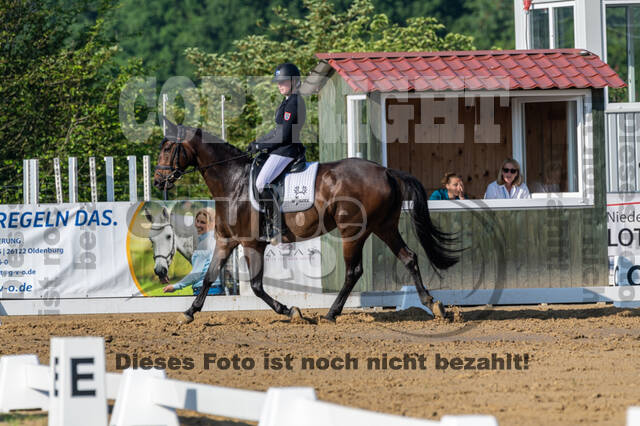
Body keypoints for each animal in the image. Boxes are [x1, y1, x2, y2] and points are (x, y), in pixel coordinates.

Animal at [154, 118, 458, 323]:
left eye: (168, 149)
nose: (158, 181)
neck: (234, 181)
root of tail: (386, 171)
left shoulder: (252, 244)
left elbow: (256, 286)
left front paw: (291, 311)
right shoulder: (226, 240)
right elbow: (208, 277)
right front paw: (188, 312)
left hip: (353, 231)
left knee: (354, 271)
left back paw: (331, 313)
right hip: (384, 227)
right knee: (409, 257)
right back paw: (434, 305)